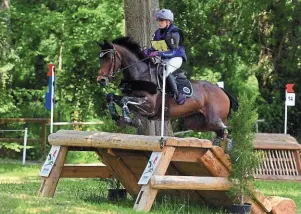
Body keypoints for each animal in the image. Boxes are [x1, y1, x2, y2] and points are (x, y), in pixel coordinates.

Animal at [95, 36, 237, 141]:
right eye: (100, 58)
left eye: (109, 58)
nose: (101, 80)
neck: (140, 73)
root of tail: (222, 91)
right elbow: (111, 97)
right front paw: (117, 117)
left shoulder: (150, 106)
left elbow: (124, 99)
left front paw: (129, 120)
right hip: (196, 122)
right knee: (219, 132)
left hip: (214, 118)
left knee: (224, 129)